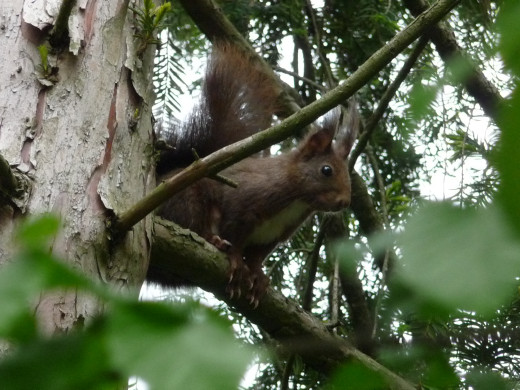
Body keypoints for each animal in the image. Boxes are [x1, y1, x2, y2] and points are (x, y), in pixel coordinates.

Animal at [146, 43, 358, 308]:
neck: (297, 199)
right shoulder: (244, 201)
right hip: (187, 199)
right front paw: (237, 262)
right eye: (326, 170)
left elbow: (258, 257)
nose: (345, 202)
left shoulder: (275, 234)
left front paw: (258, 277)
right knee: (191, 223)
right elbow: (235, 234)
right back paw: (212, 239)